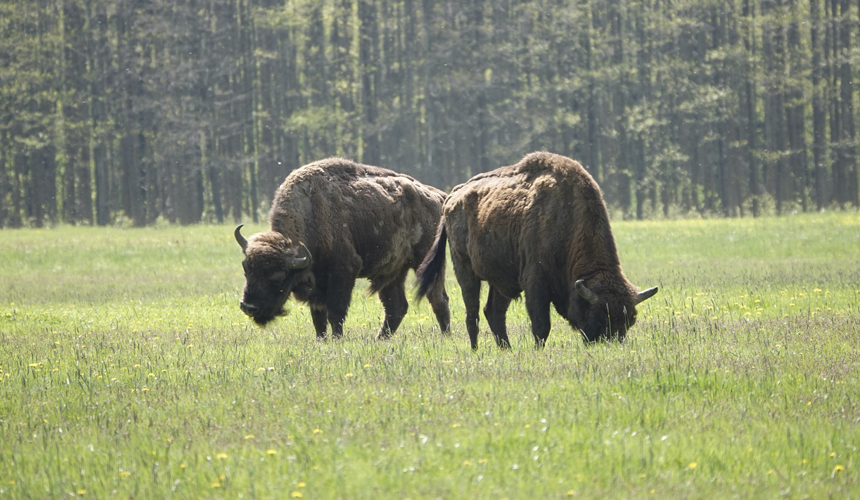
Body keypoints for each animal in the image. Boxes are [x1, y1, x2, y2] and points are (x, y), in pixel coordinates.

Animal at [235, 159, 450, 340]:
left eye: (278, 276)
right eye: (246, 268)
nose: (248, 306)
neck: (312, 212)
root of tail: (438, 197)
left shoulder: (343, 272)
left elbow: (335, 312)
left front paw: (337, 339)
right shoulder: (317, 285)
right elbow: (318, 316)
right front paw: (321, 340)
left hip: (425, 261)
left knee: (438, 298)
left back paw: (445, 336)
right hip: (393, 270)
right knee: (396, 306)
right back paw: (380, 339)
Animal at [416, 150, 660, 350]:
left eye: (630, 320)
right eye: (599, 317)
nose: (610, 344)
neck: (567, 216)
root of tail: (451, 197)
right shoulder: (535, 280)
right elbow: (541, 325)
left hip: (501, 279)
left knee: (493, 312)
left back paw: (507, 349)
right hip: (465, 269)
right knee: (472, 313)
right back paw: (476, 350)